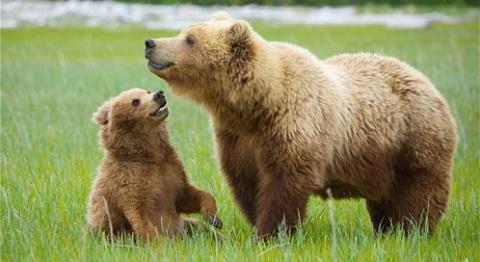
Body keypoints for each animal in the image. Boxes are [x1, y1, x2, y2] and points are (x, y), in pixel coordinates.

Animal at [143, 12, 458, 237]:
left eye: (190, 38)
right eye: (184, 32)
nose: (150, 43)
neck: (258, 103)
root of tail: (425, 80)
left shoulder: (294, 123)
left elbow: (285, 181)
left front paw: (271, 233)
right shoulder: (237, 136)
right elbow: (246, 179)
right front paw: (258, 222)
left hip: (413, 137)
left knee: (418, 192)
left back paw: (411, 230)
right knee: (384, 197)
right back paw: (385, 229)